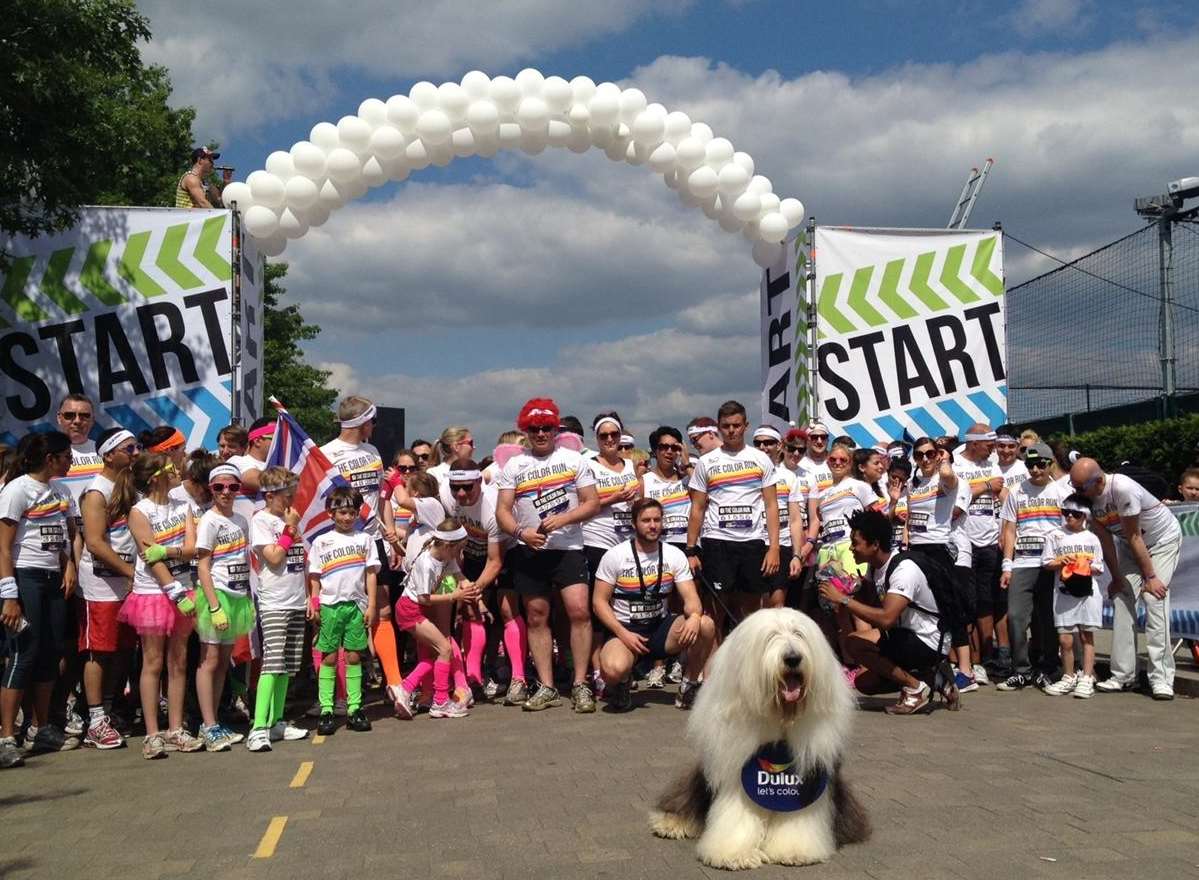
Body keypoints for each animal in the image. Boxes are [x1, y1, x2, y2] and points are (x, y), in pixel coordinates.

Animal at [652, 609, 868, 872]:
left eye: (798, 633)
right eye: (771, 636)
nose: (793, 658)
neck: (780, 717)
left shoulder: (810, 780)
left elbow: (798, 817)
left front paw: (795, 850)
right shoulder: (738, 770)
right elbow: (738, 812)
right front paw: (735, 854)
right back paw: (670, 823)